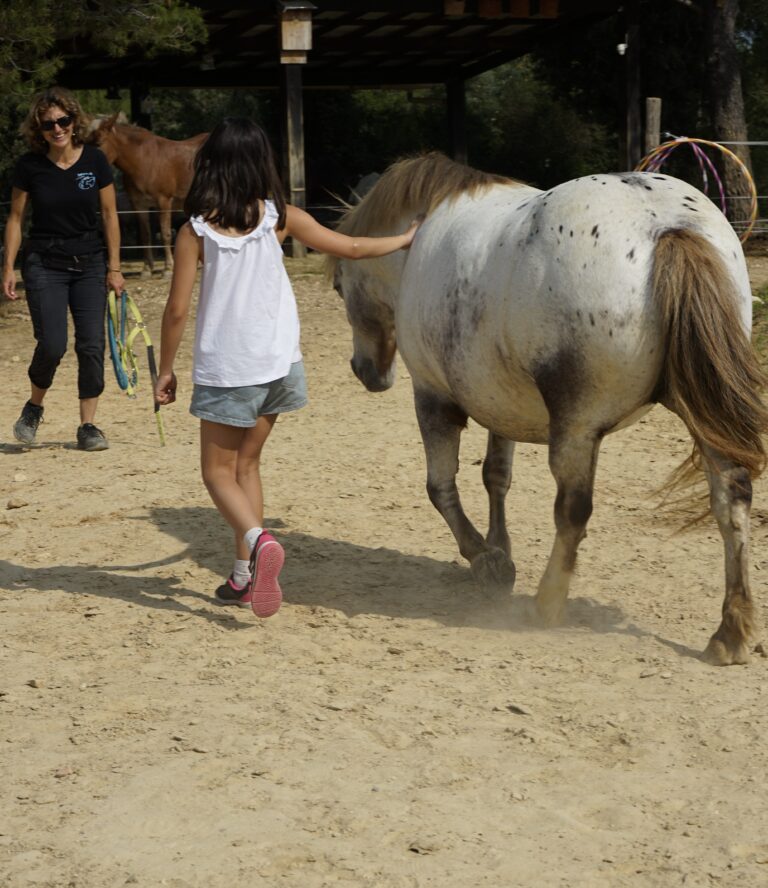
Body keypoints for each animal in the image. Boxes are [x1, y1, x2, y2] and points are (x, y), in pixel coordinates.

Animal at [89, 115, 208, 277]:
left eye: (99, 142)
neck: (144, 160)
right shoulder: (139, 205)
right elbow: (145, 236)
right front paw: (147, 269)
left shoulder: (164, 202)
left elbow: (165, 234)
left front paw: (168, 268)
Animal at [328, 152, 768, 666]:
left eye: (338, 285)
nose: (365, 371)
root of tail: (662, 224)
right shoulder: (499, 400)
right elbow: (496, 476)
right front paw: (500, 548)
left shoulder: (433, 396)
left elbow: (440, 488)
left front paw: (486, 559)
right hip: (702, 414)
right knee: (731, 496)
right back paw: (731, 631)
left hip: (576, 429)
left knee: (573, 511)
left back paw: (546, 603)